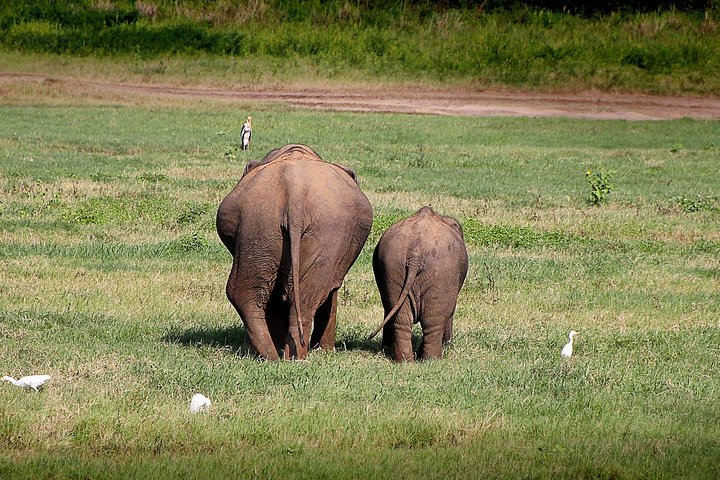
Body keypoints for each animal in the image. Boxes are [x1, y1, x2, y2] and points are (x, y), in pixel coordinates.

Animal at [215, 143, 372, 360]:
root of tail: (294, 192)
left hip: (263, 224)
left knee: (254, 292)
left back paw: (277, 356)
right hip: (287, 226)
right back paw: (287, 356)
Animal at [368, 204, 470, 362]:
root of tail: (415, 254)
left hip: (393, 268)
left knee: (400, 319)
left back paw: (405, 361)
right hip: (442, 272)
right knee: (433, 322)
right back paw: (431, 360)